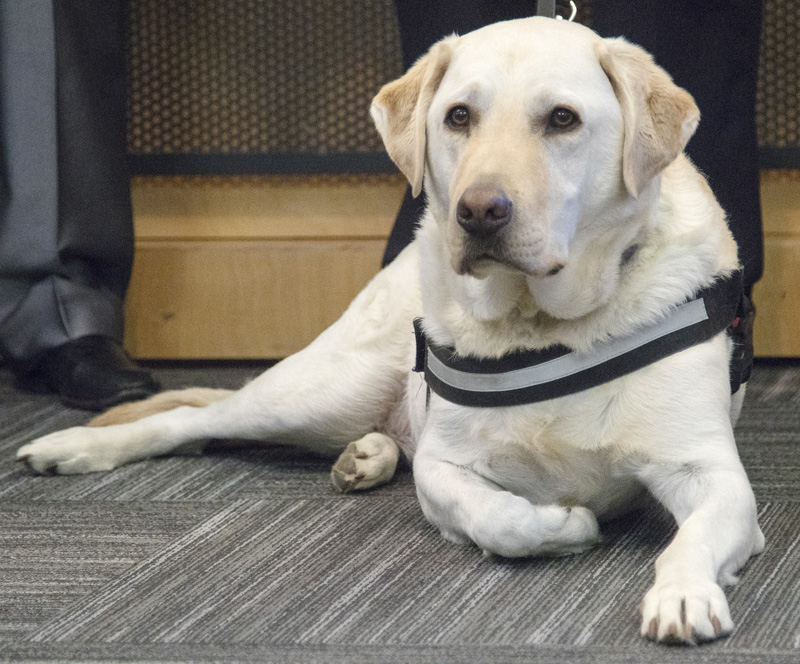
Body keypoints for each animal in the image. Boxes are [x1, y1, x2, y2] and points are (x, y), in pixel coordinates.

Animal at [18, 18, 764, 644]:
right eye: (459, 115)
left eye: (563, 119)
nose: (478, 211)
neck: (541, 325)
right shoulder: (445, 465)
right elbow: (496, 516)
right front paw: (562, 525)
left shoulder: (712, 474)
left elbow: (692, 537)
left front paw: (683, 593)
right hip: (321, 388)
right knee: (196, 419)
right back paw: (73, 447)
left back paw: (366, 455)